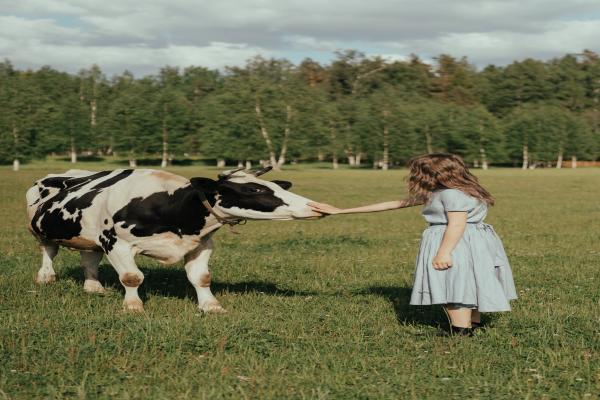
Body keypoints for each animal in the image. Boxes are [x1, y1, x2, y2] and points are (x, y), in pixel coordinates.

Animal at [25, 166, 322, 312]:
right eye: (253, 189)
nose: (315, 206)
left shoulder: (201, 244)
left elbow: (202, 278)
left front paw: (211, 306)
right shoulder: (116, 242)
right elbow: (131, 277)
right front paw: (133, 306)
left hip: (89, 234)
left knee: (89, 258)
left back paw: (93, 287)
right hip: (41, 230)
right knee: (49, 252)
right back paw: (46, 277)